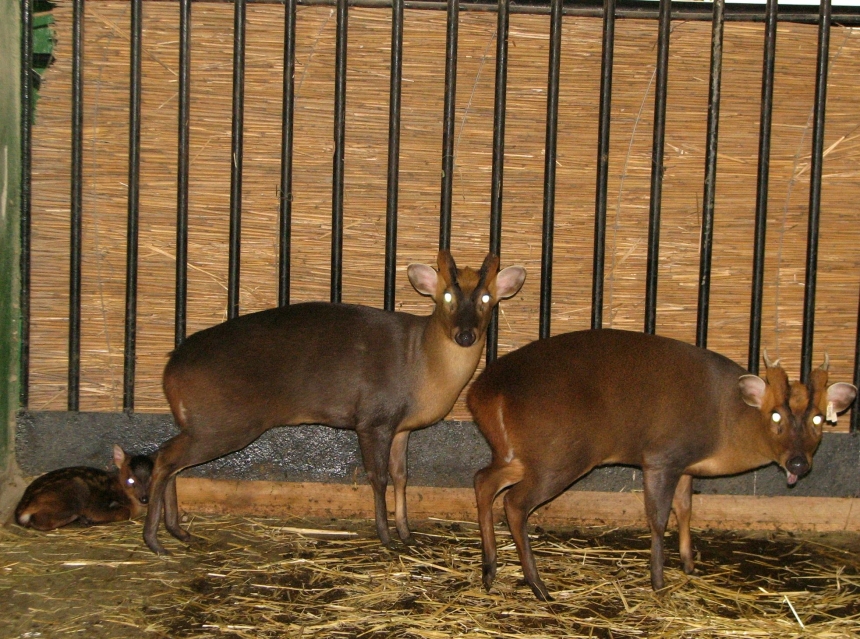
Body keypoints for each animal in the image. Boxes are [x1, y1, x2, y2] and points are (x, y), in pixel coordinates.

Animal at [15, 444, 153, 528]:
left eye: (151, 478)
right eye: (130, 480)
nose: (144, 499)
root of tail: (22, 511)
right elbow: (125, 511)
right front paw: (90, 518)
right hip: (77, 489)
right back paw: (79, 518)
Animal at [144, 250, 528, 556]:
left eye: (486, 298)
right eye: (446, 295)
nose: (465, 335)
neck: (424, 363)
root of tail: (171, 367)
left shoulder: (401, 427)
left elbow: (402, 476)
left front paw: (407, 532)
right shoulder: (372, 418)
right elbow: (378, 477)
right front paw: (386, 536)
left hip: (202, 424)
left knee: (171, 458)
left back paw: (178, 530)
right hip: (223, 423)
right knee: (165, 458)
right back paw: (155, 539)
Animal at [466, 328, 856, 604]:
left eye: (818, 419)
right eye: (775, 415)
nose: (798, 462)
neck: (727, 420)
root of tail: (482, 393)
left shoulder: (686, 465)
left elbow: (686, 509)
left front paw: (689, 565)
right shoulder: (661, 456)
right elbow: (658, 518)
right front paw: (658, 581)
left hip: (521, 454)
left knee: (483, 479)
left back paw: (490, 570)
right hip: (559, 454)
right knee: (514, 503)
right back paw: (538, 586)